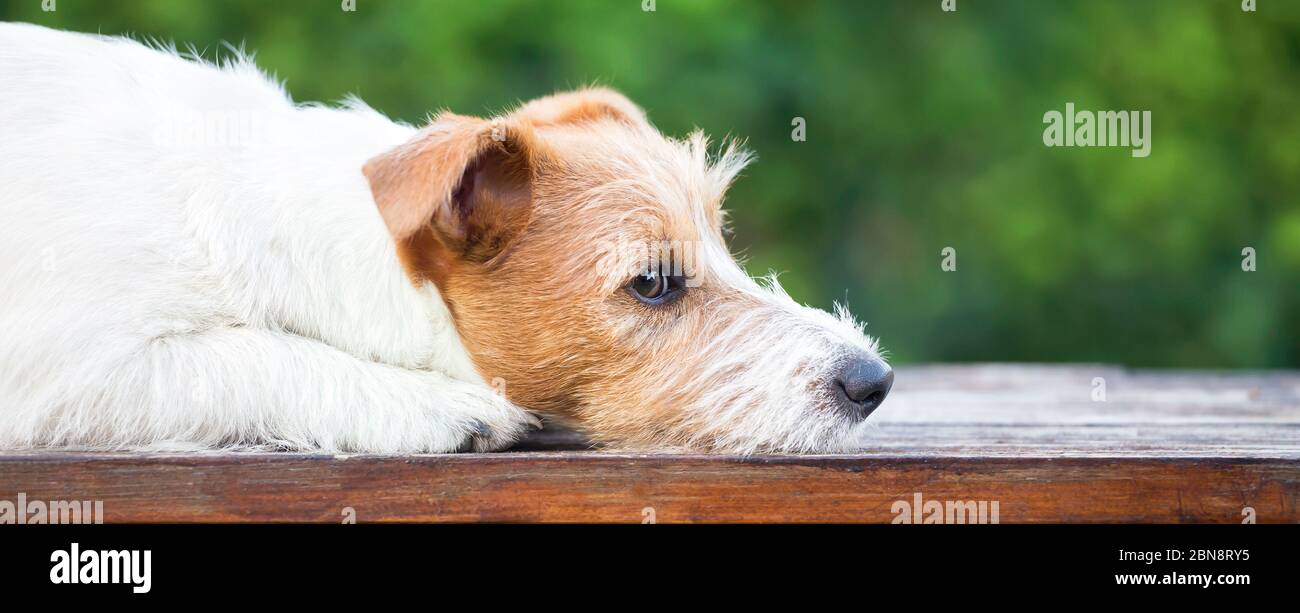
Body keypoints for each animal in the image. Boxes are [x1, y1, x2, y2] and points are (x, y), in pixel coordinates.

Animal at [0, 24, 894, 451]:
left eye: (723, 243)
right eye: (652, 282)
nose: (873, 379)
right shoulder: (72, 371)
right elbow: (243, 354)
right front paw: (434, 405)